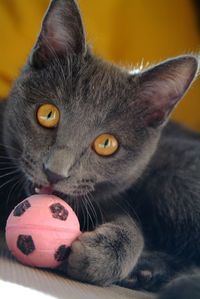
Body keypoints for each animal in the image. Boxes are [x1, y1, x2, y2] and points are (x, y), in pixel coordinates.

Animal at [0, 0, 200, 299]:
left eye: (106, 144)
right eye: (47, 114)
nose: (55, 172)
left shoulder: (113, 196)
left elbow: (132, 227)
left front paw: (103, 256)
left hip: (170, 180)